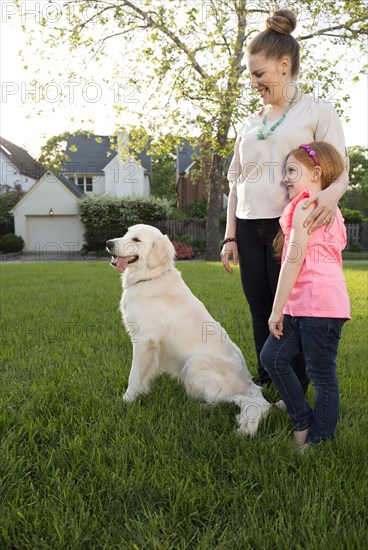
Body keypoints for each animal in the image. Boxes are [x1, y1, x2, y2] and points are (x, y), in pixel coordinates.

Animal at [106, 226, 270, 438]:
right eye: (125, 233)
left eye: (136, 239)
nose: (108, 243)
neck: (151, 276)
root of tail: (250, 383)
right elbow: (144, 374)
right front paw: (141, 392)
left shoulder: (144, 341)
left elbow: (134, 375)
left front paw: (127, 400)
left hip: (194, 363)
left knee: (224, 399)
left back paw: (201, 408)